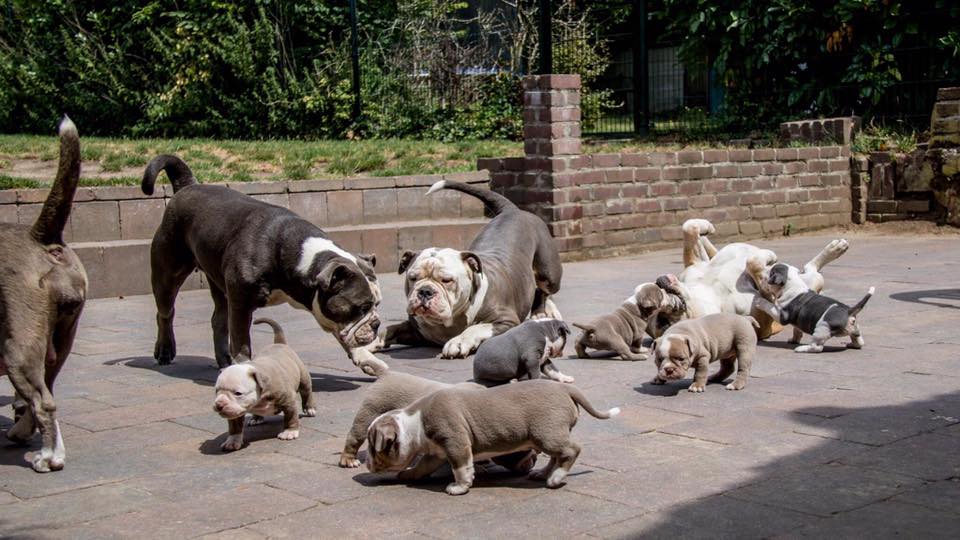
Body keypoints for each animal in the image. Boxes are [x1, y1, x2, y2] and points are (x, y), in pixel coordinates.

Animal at [142, 154, 382, 370]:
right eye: (361, 307)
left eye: (377, 305)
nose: (377, 323)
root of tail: (188, 186)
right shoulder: (240, 303)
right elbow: (241, 341)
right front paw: (244, 366)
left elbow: (344, 334)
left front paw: (366, 358)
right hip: (169, 272)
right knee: (165, 312)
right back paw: (165, 349)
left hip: (218, 282)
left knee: (218, 319)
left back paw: (224, 360)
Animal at [211, 316, 314, 452]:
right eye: (217, 391)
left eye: (238, 393)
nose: (219, 404)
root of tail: (280, 343)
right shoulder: (235, 411)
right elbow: (234, 426)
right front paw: (232, 441)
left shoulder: (288, 401)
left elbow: (290, 417)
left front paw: (289, 432)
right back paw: (256, 418)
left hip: (303, 376)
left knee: (306, 391)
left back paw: (310, 408)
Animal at [364, 378, 620, 496]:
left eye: (374, 447)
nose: (366, 464)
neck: (414, 423)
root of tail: (564, 388)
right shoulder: (436, 452)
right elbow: (422, 466)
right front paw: (409, 474)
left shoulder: (455, 442)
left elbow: (461, 468)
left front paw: (459, 487)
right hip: (548, 436)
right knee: (556, 456)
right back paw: (543, 474)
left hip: (547, 433)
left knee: (571, 450)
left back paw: (555, 478)